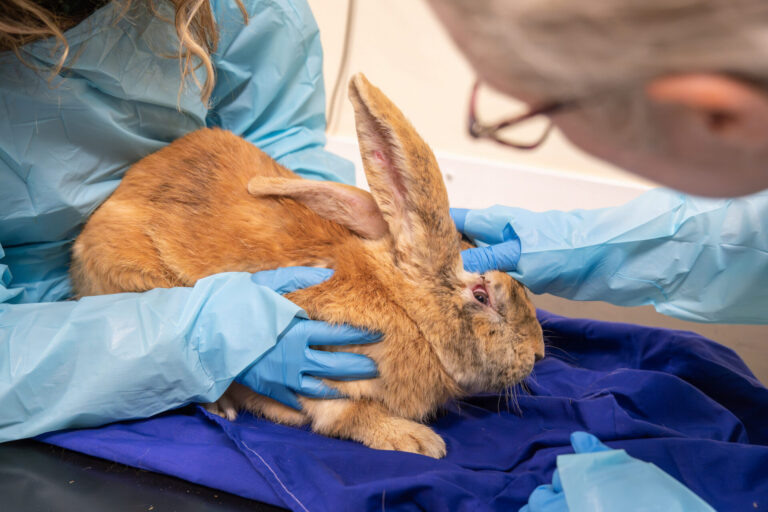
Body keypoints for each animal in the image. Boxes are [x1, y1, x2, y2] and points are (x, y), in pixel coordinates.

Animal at [71, 73, 545, 458]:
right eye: (481, 295)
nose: (538, 353)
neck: (406, 309)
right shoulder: (331, 384)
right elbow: (352, 418)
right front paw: (419, 441)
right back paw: (220, 404)